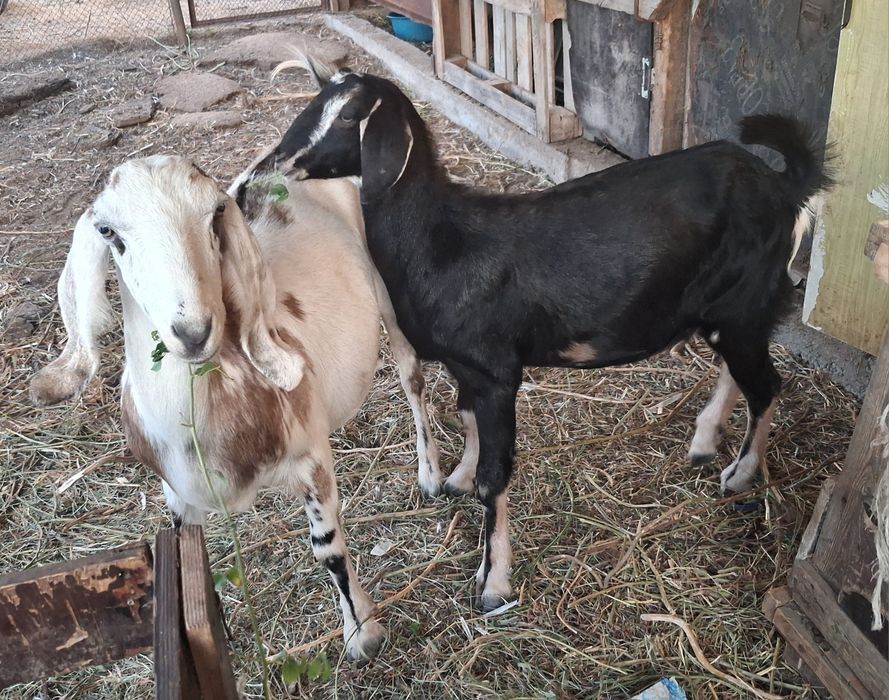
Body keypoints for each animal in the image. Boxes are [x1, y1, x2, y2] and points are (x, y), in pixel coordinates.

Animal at [30, 155, 394, 662]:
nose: (193, 331)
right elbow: (189, 566)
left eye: (215, 213)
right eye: (108, 232)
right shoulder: (176, 493)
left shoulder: (312, 460)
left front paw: (362, 634)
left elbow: (329, 550)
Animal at [245, 61, 830, 612]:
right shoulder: (466, 366)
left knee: (766, 385)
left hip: (744, 300)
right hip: (729, 311)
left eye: (349, 116)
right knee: (739, 369)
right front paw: (458, 477)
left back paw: (740, 473)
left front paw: (492, 582)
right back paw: (706, 441)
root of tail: (782, 184)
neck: (442, 241)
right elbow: (465, 417)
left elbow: (496, 475)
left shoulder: (497, 371)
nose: (270, 166)